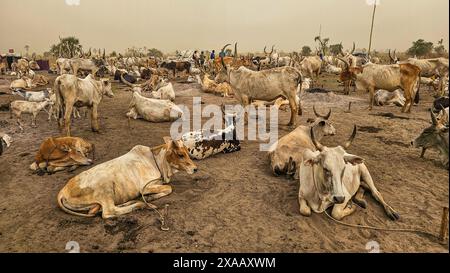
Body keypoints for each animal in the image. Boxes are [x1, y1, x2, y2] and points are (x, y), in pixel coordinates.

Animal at [56, 137, 197, 218]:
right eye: (180, 154)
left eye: (187, 152)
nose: (195, 169)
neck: (156, 161)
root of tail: (63, 191)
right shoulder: (145, 187)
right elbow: (169, 188)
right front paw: (150, 198)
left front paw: (150, 197)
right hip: (105, 188)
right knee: (108, 212)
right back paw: (141, 204)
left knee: (97, 210)